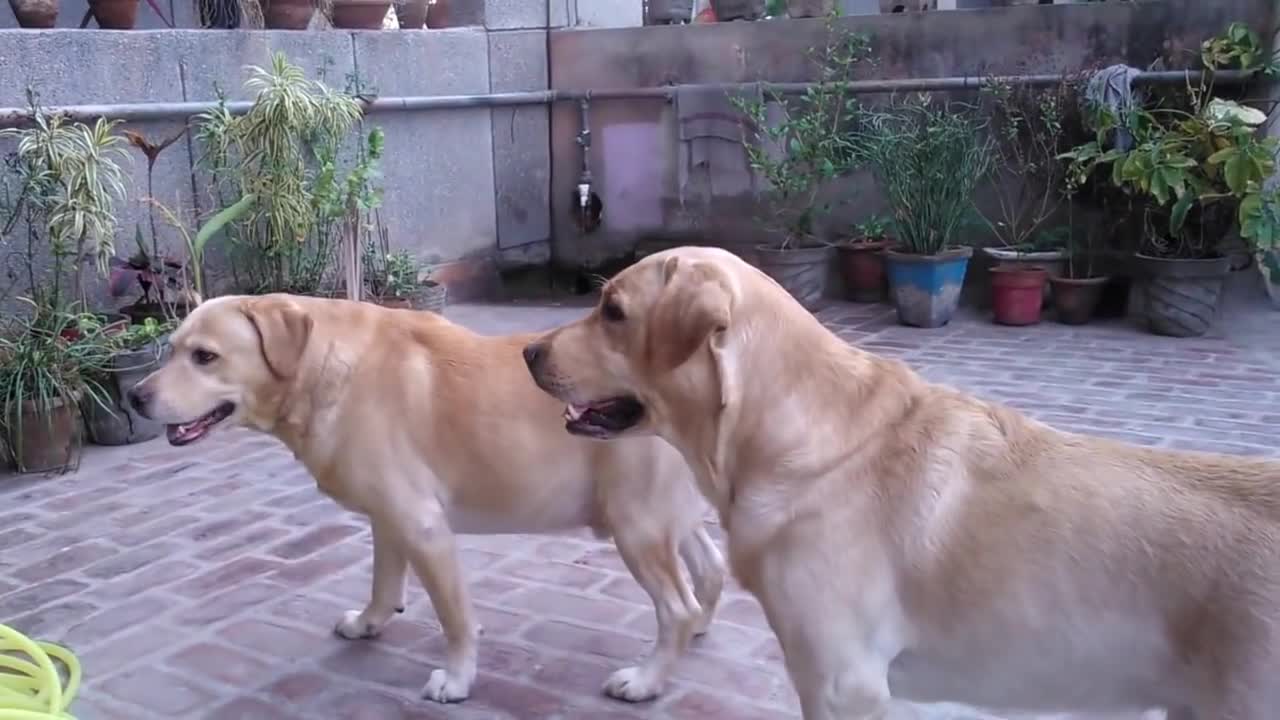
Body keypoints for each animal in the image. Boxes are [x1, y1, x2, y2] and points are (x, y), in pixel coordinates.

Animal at [131, 294, 732, 702]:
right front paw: (368, 623)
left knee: (675, 605)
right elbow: (383, 582)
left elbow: (455, 618)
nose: (136, 397)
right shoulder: (388, 519)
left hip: (636, 525)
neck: (322, 367)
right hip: (664, 520)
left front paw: (458, 679)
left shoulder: (422, 526)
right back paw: (698, 629)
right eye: (172, 350)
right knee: (710, 568)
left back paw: (648, 679)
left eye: (205, 357)